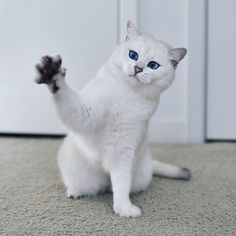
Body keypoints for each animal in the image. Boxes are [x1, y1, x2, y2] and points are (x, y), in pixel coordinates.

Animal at [35, 20, 190, 218]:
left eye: (153, 65)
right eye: (133, 55)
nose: (138, 68)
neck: (127, 93)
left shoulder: (124, 148)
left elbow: (121, 182)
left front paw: (124, 208)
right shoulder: (86, 112)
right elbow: (65, 95)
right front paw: (53, 75)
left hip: (139, 174)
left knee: (117, 186)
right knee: (87, 187)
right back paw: (75, 192)